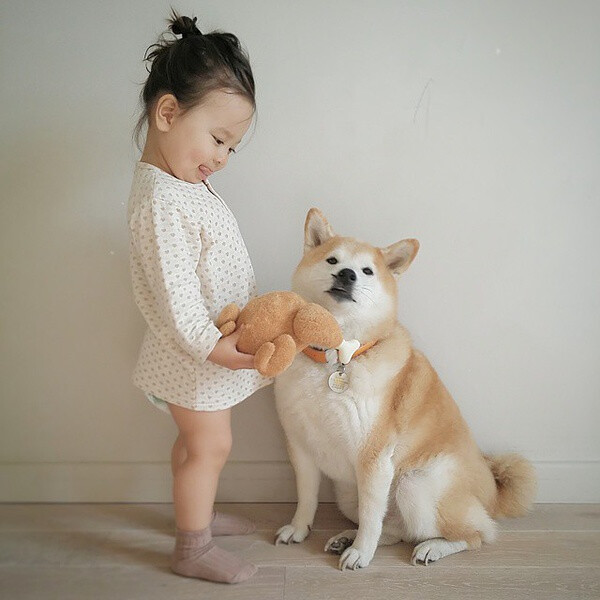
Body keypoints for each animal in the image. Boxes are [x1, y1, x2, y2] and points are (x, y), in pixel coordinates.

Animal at [272, 209, 536, 568]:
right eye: (332, 259)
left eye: (367, 270)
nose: (346, 274)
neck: (338, 357)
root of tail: (492, 494)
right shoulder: (301, 447)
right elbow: (306, 498)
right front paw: (299, 529)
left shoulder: (373, 458)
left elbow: (371, 518)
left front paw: (361, 553)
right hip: (348, 494)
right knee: (396, 528)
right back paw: (346, 537)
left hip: (413, 484)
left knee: (475, 534)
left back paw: (432, 547)